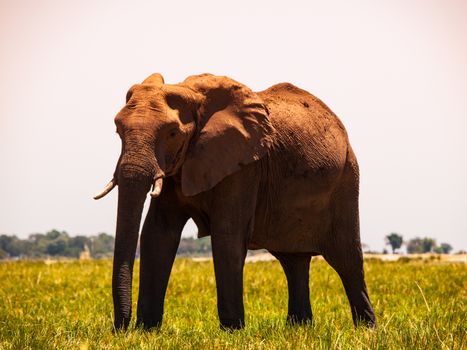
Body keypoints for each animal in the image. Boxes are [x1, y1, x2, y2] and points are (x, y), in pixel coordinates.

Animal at [94, 72, 376, 330]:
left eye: (172, 133)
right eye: (118, 130)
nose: (119, 329)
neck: (193, 95)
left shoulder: (243, 166)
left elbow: (227, 235)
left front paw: (231, 332)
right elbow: (157, 233)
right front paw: (146, 331)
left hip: (346, 179)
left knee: (346, 259)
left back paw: (366, 330)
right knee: (293, 261)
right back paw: (299, 328)